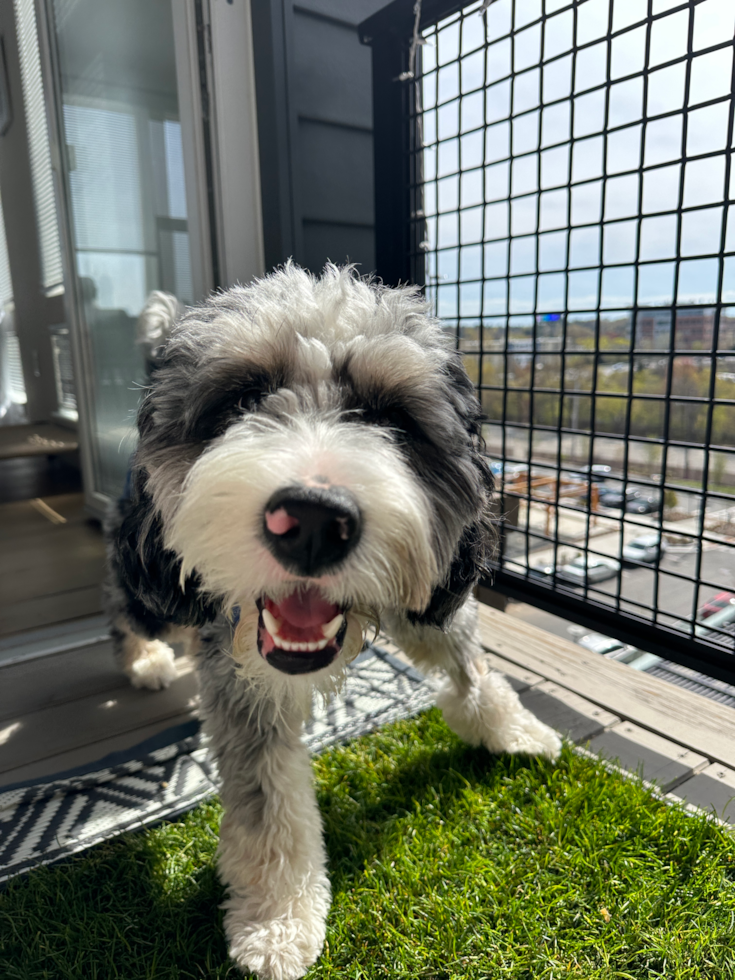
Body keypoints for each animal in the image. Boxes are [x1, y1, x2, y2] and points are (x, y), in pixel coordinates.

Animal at [105, 264, 564, 976]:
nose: (313, 521)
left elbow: (472, 669)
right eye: (240, 401)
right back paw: (147, 660)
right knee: (130, 613)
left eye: (393, 419)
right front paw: (276, 923)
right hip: (151, 575)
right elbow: (270, 809)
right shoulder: (246, 686)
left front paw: (514, 731)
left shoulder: (430, 601)